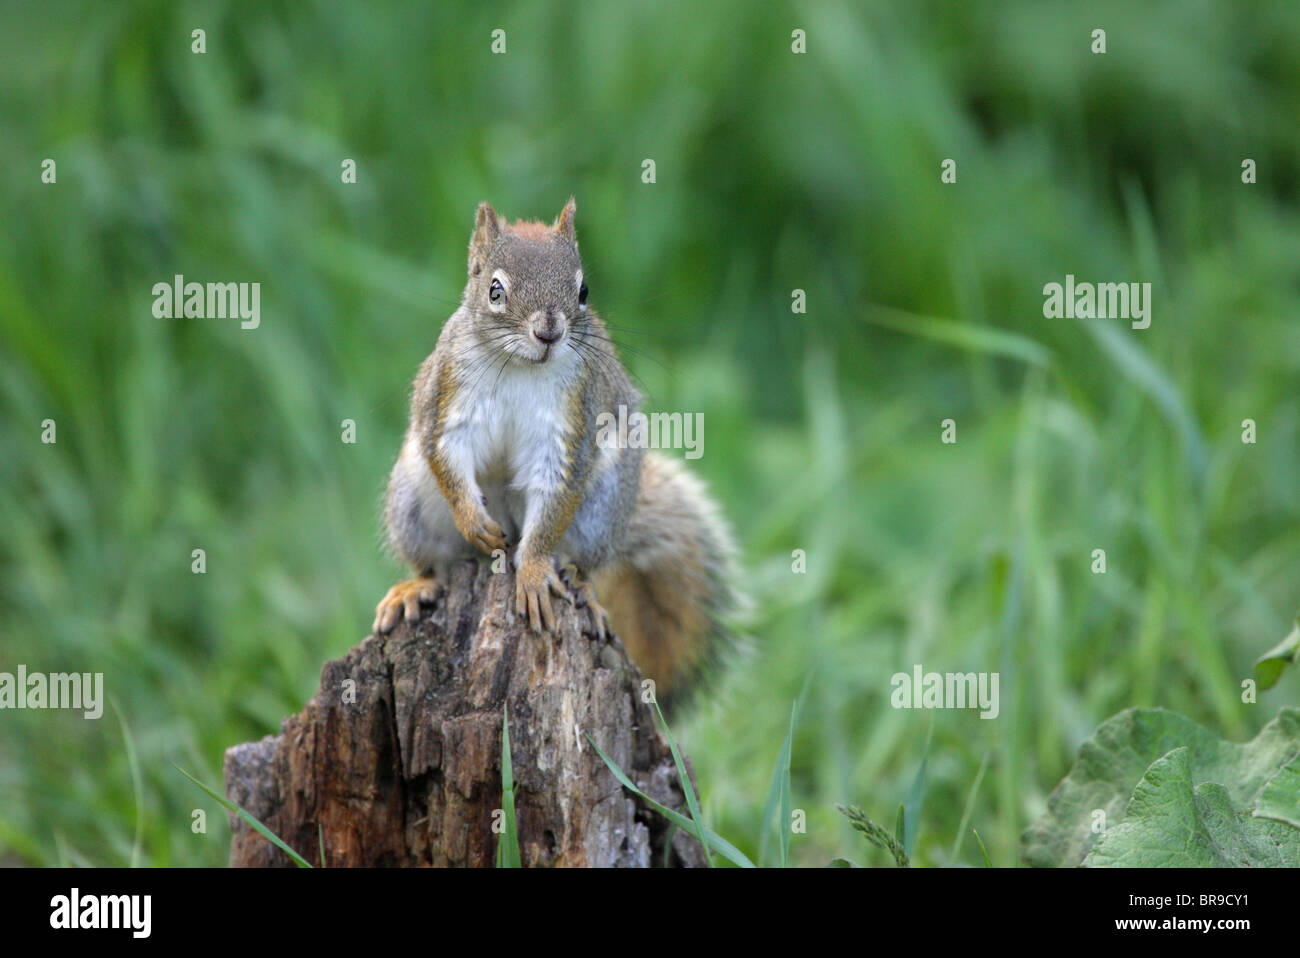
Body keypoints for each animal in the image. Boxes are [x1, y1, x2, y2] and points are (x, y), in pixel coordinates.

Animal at [374, 197, 743, 696]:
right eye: (494, 290)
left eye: (584, 290)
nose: (549, 331)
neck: (518, 366)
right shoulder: (447, 398)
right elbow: (445, 452)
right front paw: (473, 518)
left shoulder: (571, 423)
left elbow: (553, 495)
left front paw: (532, 573)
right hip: (412, 499)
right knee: (438, 565)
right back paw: (417, 586)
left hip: (602, 509)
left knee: (579, 560)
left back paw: (576, 583)